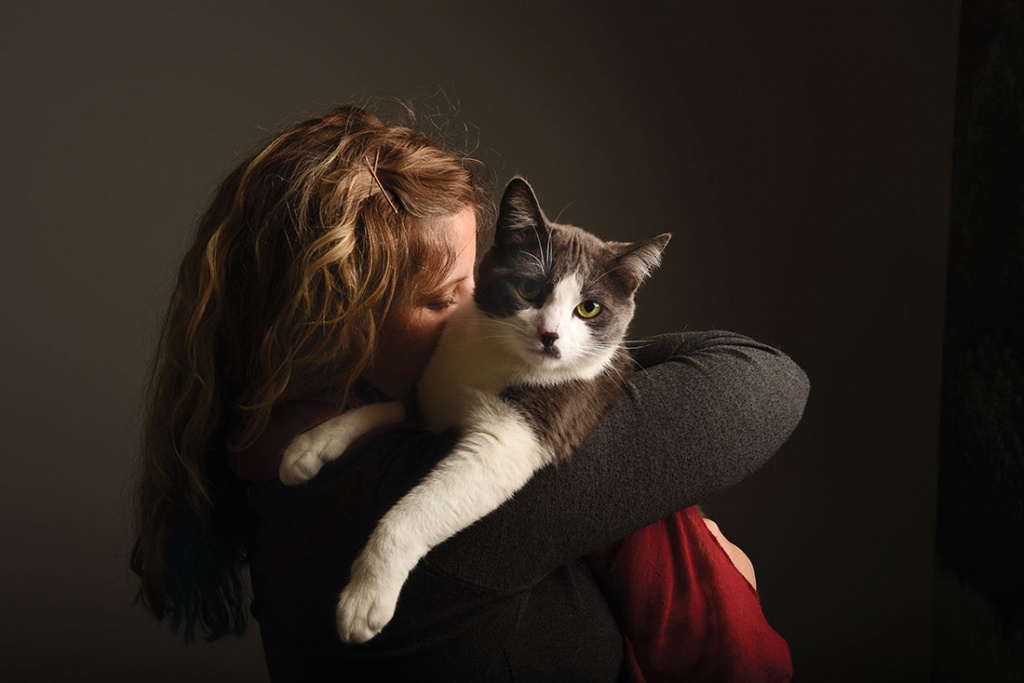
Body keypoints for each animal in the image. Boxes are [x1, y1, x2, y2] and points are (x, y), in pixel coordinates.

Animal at [280, 178, 667, 647]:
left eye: (589, 308)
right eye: (529, 288)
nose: (550, 335)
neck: (495, 355)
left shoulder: (524, 432)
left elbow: (416, 510)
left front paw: (364, 598)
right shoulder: (433, 388)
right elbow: (394, 406)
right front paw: (309, 445)